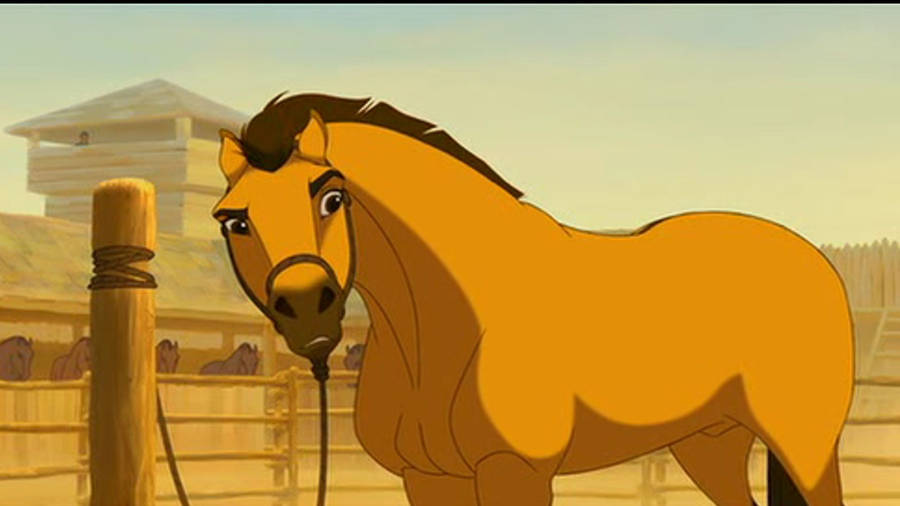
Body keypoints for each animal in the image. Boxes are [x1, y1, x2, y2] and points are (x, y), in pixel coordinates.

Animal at [210, 93, 853, 506]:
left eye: (331, 197)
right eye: (235, 220)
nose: (307, 310)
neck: (453, 322)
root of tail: (813, 259)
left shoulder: (515, 472)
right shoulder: (428, 478)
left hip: (806, 448)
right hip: (710, 445)